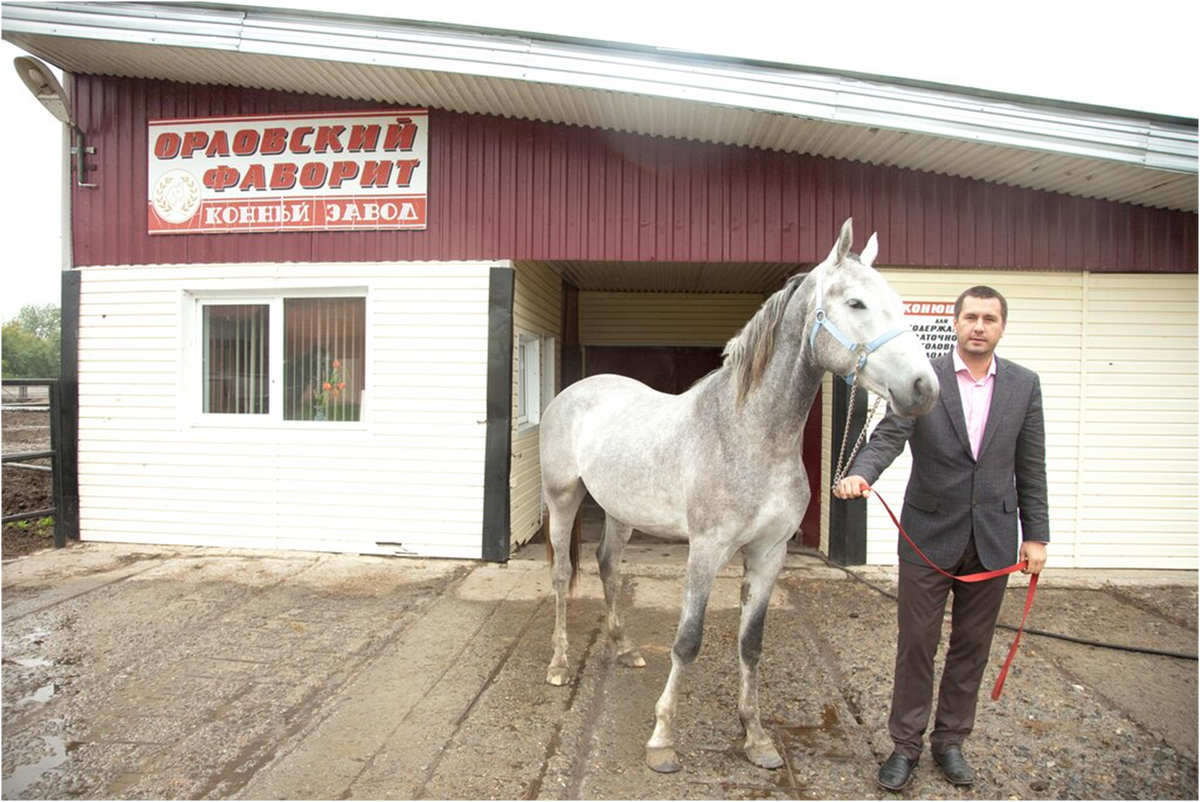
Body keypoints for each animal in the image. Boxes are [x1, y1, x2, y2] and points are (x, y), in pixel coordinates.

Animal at [537, 217, 936, 768]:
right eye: (856, 303)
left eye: (898, 301)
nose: (924, 388)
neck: (747, 433)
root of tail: (574, 393)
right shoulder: (706, 550)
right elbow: (688, 641)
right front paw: (662, 739)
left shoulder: (770, 554)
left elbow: (751, 644)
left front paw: (756, 736)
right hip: (563, 498)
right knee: (561, 575)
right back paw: (558, 664)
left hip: (621, 511)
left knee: (608, 565)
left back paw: (625, 647)